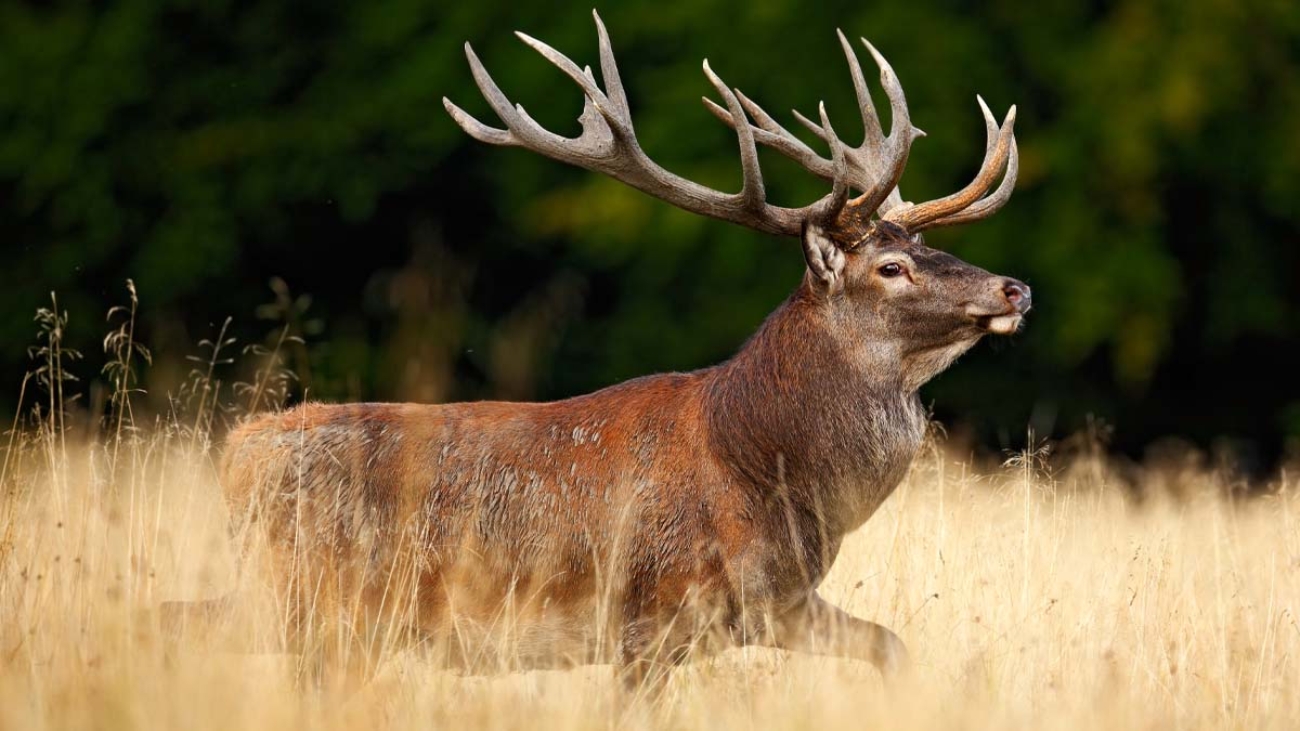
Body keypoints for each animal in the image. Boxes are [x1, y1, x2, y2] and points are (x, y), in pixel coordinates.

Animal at [180, 9, 1024, 691]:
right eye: (892, 267)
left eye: (923, 245)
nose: (1014, 287)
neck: (765, 468)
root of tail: (236, 451)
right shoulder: (650, 620)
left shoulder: (772, 605)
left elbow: (891, 646)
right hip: (313, 601)